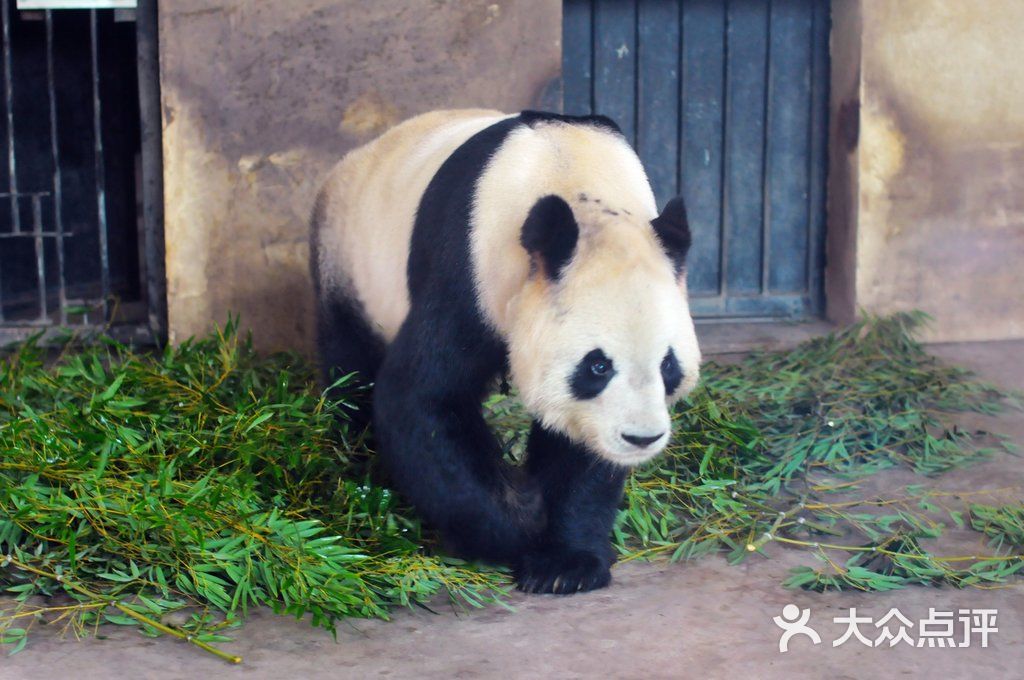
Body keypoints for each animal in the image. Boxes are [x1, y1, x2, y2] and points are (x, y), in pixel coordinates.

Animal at [307, 109, 700, 593]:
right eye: (598, 366)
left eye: (668, 365)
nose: (641, 438)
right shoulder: (468, 271)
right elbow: (422, 399)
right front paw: (516, 528)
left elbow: (581, 446)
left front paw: (565, 564)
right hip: (345, 259)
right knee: (351, 369)